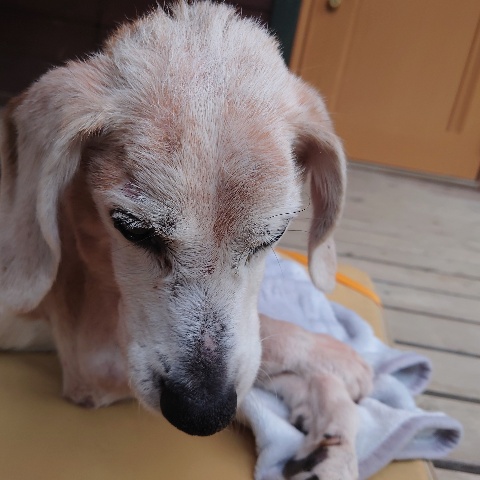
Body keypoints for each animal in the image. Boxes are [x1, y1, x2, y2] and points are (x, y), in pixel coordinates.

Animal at [0, 2, 371, 478]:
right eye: (132, 228)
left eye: (274, 236)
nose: (203, 415)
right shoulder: (96, 361)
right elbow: (271, 336)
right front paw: (338, 357)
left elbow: (259, 362)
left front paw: (330, 442)